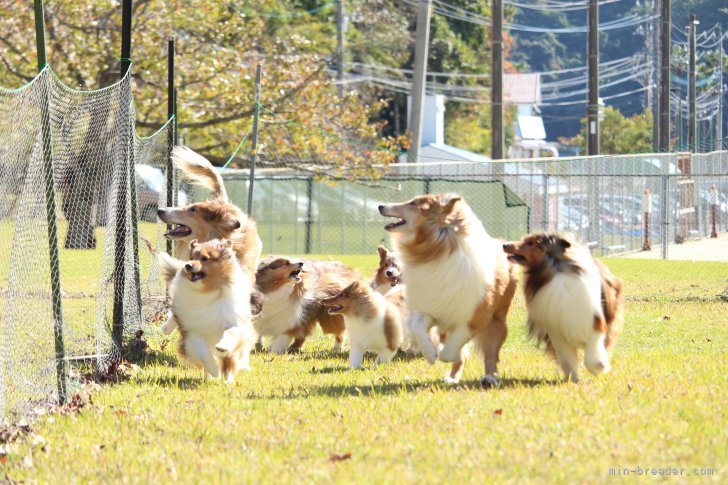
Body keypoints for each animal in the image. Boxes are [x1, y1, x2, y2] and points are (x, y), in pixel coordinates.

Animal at [158, 238, 258, 382]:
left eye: (205, 258)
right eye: (192, 257)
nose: (187, 266)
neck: (209, 290)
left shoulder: (234, 321)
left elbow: (231, 332)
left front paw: (222, 346)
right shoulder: (193, 332)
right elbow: (204, 352)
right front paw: (214, 370)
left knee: (230, 363)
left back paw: (228, 381)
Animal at [378, 193, 520, 386]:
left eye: (413, 203)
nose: (380, 206)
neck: (437, 250)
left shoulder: (475, 316)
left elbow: (454, 348)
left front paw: (447, 355)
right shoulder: (431, 307)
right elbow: (417, 328)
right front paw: (431, 353)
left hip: (497, 319)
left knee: (491, 351)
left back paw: (489, 378)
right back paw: (452, 377)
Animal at [500, 233, 624, 380]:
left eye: (531, 243)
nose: (504, 245)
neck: (554, 269)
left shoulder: (594, 324)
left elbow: (593, 352)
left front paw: (598, 367)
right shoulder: (557, 333)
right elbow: (567, 359)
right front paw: (573, 378)